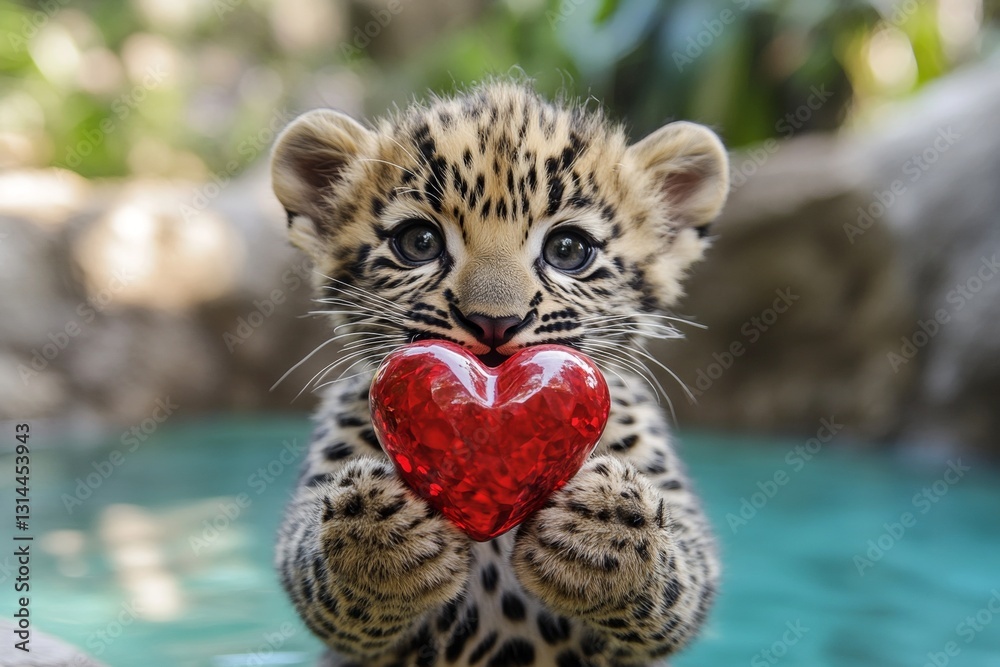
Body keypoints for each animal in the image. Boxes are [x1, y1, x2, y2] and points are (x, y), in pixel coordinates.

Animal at [269, 79, 729, 667]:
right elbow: (314, 566)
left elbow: (683, 577)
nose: (494, 322)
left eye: (568, 249)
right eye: (418, 242)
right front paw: (380, 524)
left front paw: (601, 526)